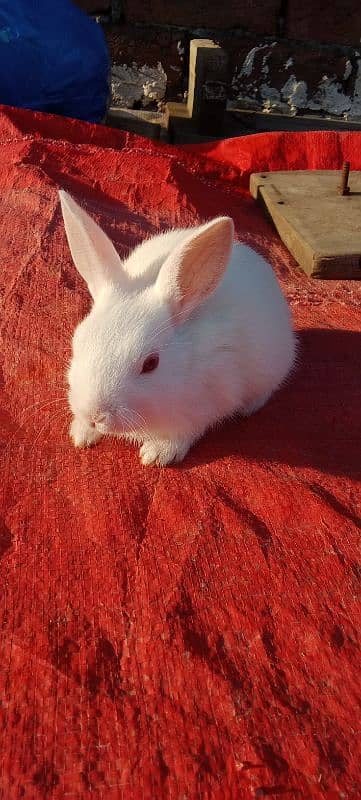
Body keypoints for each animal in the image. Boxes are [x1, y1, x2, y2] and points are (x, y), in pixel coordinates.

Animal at [59, 190, 296, 466]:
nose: (95, 415)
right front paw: (81, 434)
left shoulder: (204, 406)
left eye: (151, 364)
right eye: (78, 343)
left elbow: (183, 433)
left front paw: (156, 454)